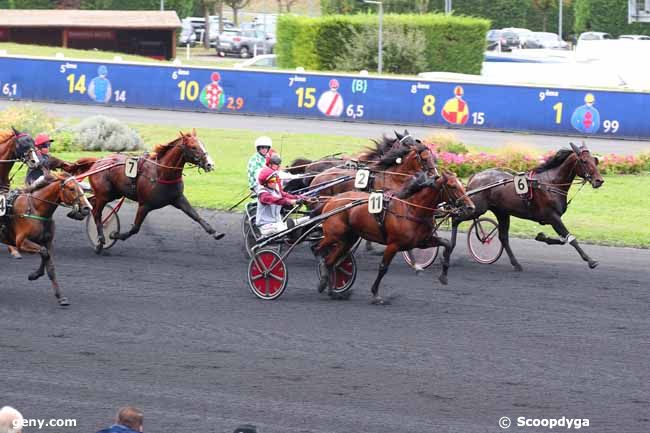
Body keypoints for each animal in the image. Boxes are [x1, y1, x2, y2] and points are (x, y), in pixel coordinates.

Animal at [0, 174, 92, 306]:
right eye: (71, 189)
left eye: (81, 187)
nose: (87, 208)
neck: (35, 209)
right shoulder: (21, 242)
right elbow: (44, 252)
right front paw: (36, 274)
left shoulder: (47, 241)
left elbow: (49, 263)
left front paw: (60, 297)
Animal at [67, 128, 221, 253]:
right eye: (193, 147)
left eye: (203, 145)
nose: (210, 164)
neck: (160, 173)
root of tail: (98, 161)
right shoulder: (144, 205)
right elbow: (135, 228)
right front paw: (114, 235)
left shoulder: (178, 199)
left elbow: (196, 216)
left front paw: (215, 232)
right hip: (104, 194)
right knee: (97, 212)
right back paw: (100, 239)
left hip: (111, 193)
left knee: (92, 203)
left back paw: (78, 213)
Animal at [316, 172, 474, 304]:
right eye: (452, 186)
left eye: (462, 184)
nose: (471, 207)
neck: (412, 210)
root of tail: (331, 200)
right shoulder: (394, 245)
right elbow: (383, 268)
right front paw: (375, 295)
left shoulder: (421, 241)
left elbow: (447, 244)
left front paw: (443, 276)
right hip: (334, 235)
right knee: (318, 249)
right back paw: (323, 277)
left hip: (348, 239)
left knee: (331, 261)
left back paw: (331, 291)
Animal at [446, 143, 604, 268]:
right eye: (584, 161)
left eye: (595, 160)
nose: (599, 181)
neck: (550, 183)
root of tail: (475, 177)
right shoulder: (552, 216)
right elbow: (570, 238)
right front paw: (591, 261)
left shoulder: (552, 219)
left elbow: (563, 239)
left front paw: (541, 236)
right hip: (476, 208)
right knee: (456, 219)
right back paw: (449, 249)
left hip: (502, 212)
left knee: (503, 237)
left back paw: (516, 263)